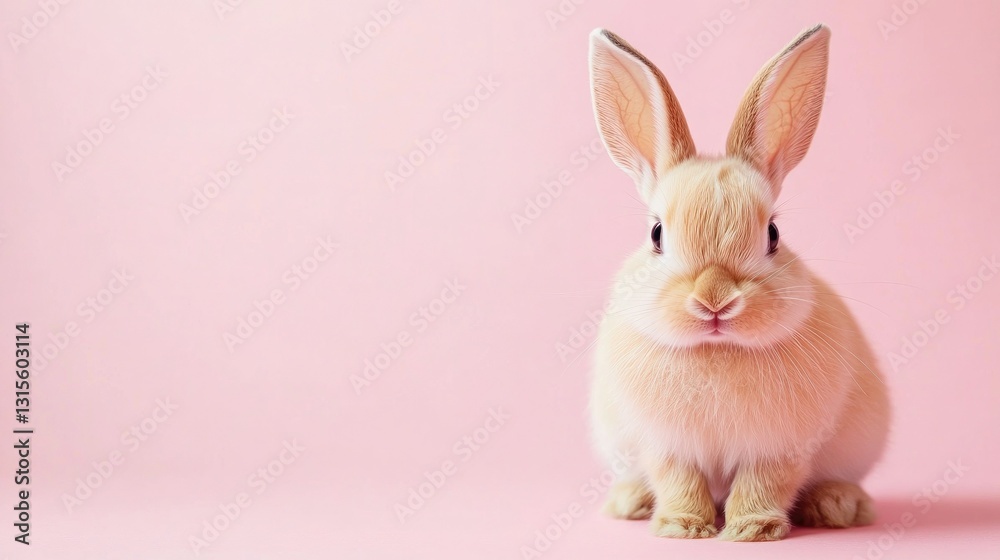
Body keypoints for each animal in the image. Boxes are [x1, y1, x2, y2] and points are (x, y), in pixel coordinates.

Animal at [587, 24, 890, 541]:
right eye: (656, 234)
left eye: (773, 234)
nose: (715, 300)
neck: (717, 351)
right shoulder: (665, 446)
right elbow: (679, 481)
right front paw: (683, 527)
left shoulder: (780, 446)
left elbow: (764, 483)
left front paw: (753, 529)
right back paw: (631, 502)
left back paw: (837, 506)